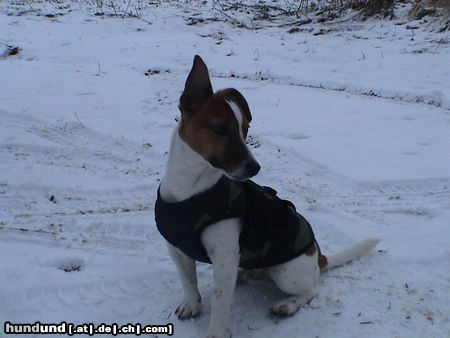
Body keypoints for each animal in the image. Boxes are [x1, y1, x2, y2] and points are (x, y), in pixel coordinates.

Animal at [156, 56, 380, 338]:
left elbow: (220, 299)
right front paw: (191, 305)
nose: (255, 168)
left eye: (245, 129)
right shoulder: (177, 249)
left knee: (312, 290)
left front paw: (216, 332)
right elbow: (189, 280)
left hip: (286, 273)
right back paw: (245, 275)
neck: (191, 188)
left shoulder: (224, 256)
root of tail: (318, 256)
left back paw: (287, 305)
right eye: (221, 128)